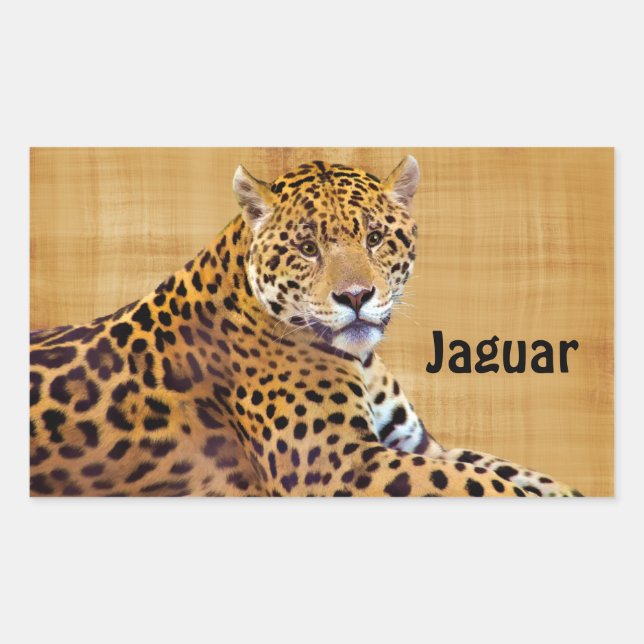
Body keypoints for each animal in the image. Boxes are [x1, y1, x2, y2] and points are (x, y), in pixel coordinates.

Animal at [29, 156, 582, 497]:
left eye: (375, 238)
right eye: (307, 247)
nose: (356, 297)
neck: (362, 361)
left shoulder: (419, 445)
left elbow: (502, 469)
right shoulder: (340, 463)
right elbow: (482, 484)